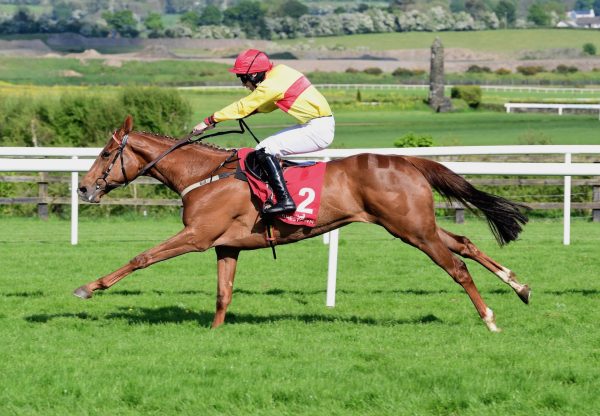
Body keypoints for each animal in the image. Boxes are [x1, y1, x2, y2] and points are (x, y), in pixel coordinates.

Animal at [75, 116, 528, 332]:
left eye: (104, 154)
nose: (82, 188)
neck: (202, 174)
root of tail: (408, 161)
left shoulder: (197, 236)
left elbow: (141, 257)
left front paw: (88, 287)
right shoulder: (226, 245)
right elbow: (223, 294)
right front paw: (215, 332)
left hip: (411, 229)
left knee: (458, 267)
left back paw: (490, 318)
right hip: (416, 225)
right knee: (465, 242)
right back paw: (519, 286)